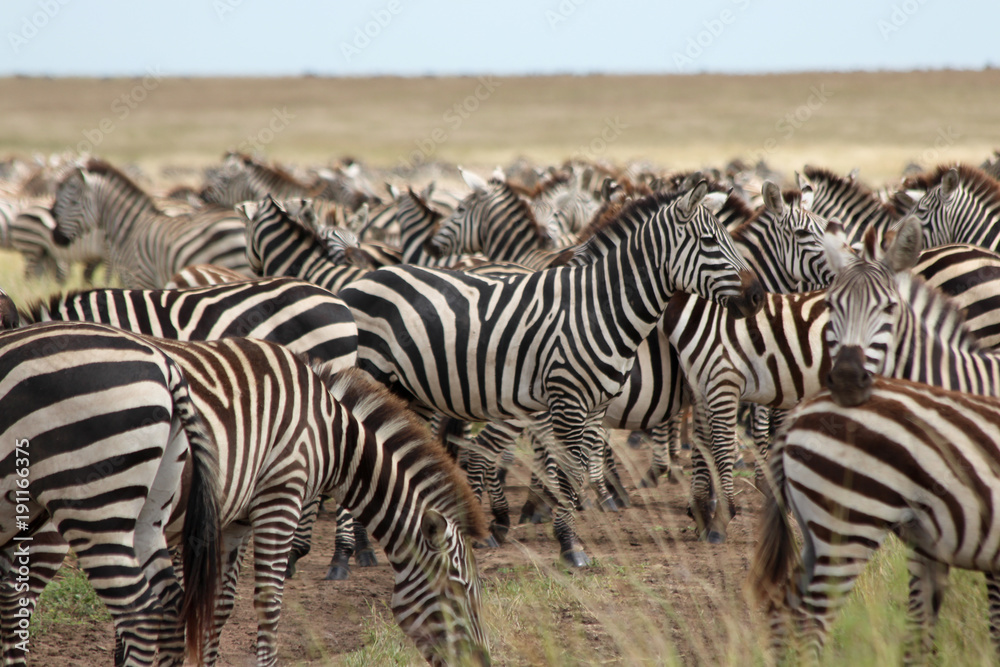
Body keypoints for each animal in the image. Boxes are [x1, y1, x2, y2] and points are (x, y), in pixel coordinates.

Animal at [339, 183, 764, 566]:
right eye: (709, 241)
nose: (758, 296)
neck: (599, 307)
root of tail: (360, 280)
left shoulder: (593, 406)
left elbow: (576, 469)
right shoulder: (569, 399)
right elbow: (570, 468)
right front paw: (570, 545)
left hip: (412, 390)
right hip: (374, 375)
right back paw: (359, 551)